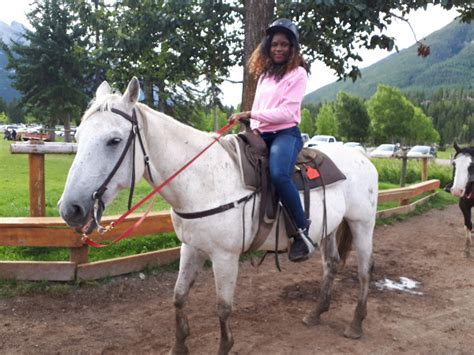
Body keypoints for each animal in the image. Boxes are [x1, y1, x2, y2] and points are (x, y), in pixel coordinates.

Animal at [59, 77, 378, 354]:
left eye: (114, 140)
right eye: (78, 135)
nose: (70, 209)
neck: (203, 181)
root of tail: (362, 156)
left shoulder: (225, 256)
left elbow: (223, 307)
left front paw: (224, 346)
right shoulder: (191, 247)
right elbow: (178, 296)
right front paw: (179, 346)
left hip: (362, 224)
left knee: (364, 270)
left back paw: (356, 323)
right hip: (328, 228)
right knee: (331, 265)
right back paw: (316, 313)